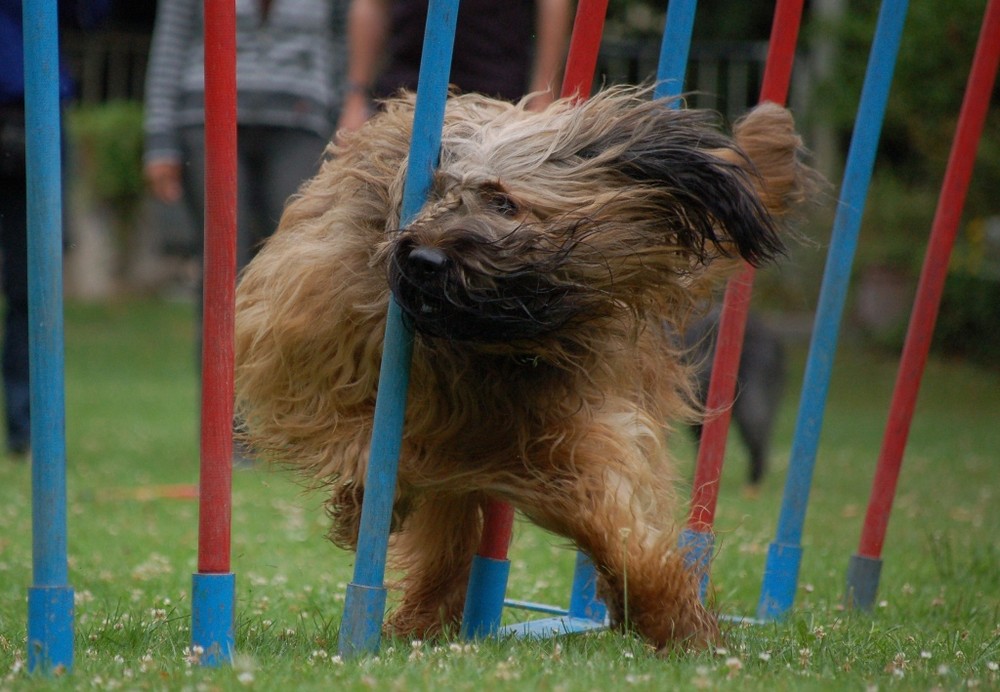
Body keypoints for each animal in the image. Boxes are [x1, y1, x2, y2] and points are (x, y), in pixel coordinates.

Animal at [236, 85, 812, 648]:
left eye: (503, 201)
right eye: (435, 194)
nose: (424, 259)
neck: (494, 342)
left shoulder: (583, 419)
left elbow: (613, 520)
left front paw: (669, 614)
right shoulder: (322, 361)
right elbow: (366, 443)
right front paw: (366, 505)